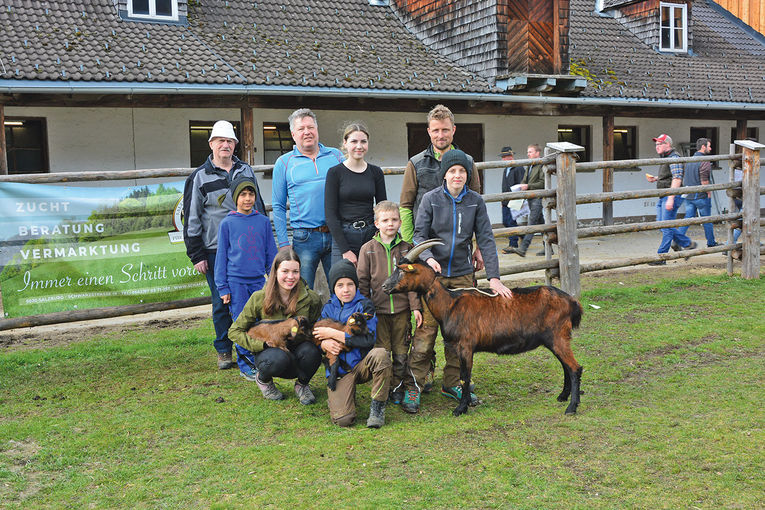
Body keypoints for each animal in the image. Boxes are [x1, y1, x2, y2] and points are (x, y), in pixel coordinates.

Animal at [382, 239, 584, 418]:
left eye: (401, 271)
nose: (384, 286)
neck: (449, 304)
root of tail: (572, 302)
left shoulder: (465, 346)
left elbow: (465, 377)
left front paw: (460, 409)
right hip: (555, 340)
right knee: (566, 366)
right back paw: (562, 397)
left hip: (558, 336)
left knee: (574, 368)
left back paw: (572, 407)